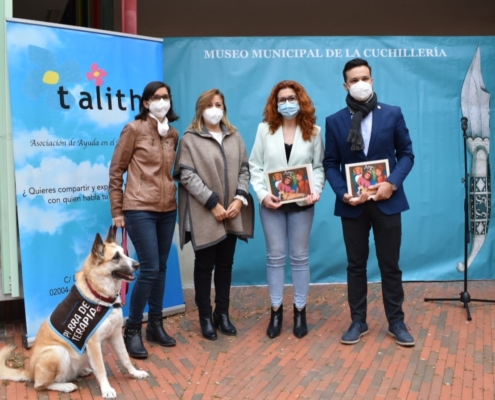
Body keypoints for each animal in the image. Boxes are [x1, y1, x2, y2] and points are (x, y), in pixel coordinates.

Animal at [0, 227, 148, 398]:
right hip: (58, 352)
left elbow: (125, 358)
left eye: (124, 253)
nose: (138, 265)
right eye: (116, 257)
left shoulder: (116, 335)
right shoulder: (93, 343)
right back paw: (65, 386)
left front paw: (135, 373)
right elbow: (101, 369)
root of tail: (28, 371)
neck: (100, 295)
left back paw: (81, 371)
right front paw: (106, 389)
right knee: (40, 385)